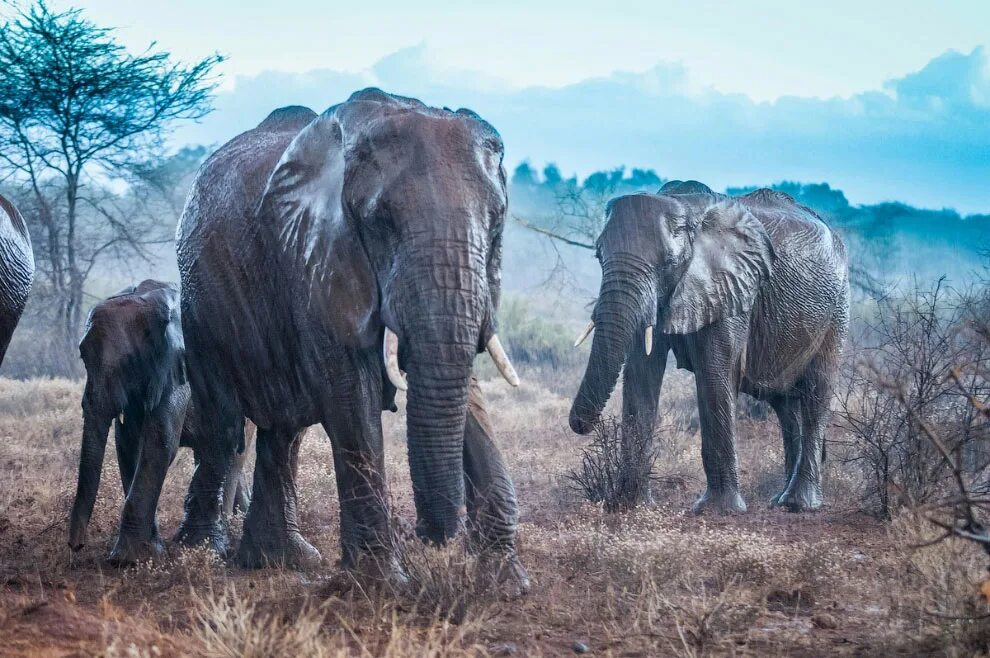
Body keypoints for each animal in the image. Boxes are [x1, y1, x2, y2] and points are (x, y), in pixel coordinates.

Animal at [67, 280, 252, 560]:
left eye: (130, 362)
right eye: (83, 358)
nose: (76, 546)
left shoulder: (180, 366)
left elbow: (159, 442)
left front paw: (127, 560)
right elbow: (128, 444)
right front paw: (148, 551)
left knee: (232, 451)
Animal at [175, 88, 532, 588]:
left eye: (497, 221)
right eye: (380, 222)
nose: (428, 534)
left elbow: (464, 390)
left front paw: (507, 583)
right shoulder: (316, 255)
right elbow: (350, 392)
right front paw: (383, 585)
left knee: (284, 431)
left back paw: (280, 560)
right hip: (200, 302)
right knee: (224, 426)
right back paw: (200, 556)